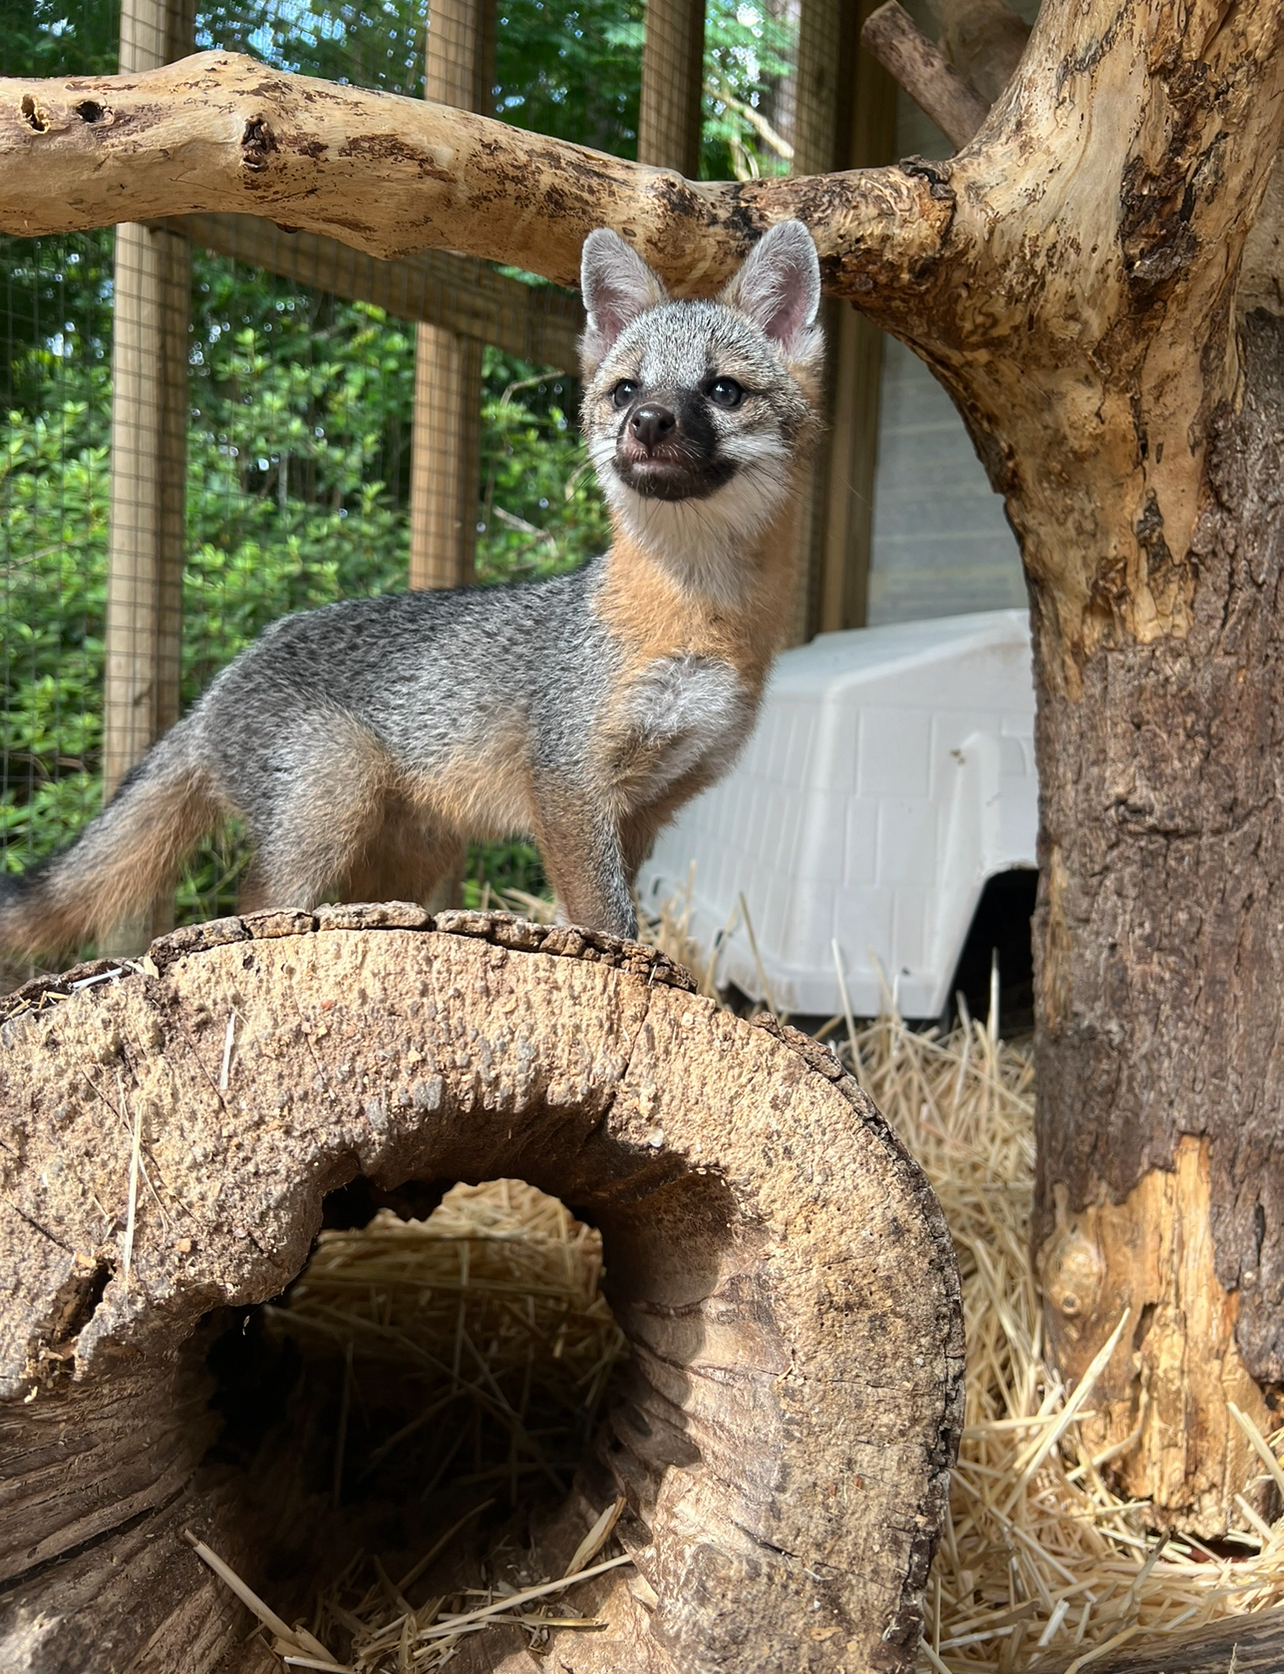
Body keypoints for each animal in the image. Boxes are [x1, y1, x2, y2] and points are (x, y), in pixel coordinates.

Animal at [0, 220, 824, 958]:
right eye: (625, 391)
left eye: (722, 391)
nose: (649, 422)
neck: (696, 617)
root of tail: (222, 682)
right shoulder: (568, 780)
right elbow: (607, 918)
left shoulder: (647, 807)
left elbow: (593, 915)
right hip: (334, 793)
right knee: (250, 904)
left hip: (405, 849)